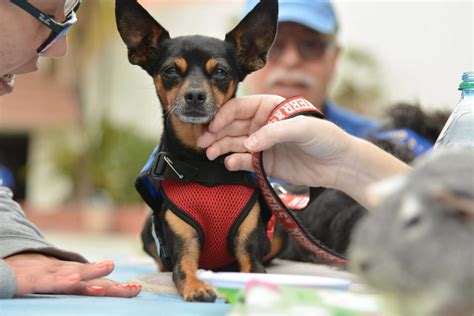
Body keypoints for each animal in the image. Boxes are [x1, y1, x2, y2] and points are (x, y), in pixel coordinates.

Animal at [115, 0, 278, 302]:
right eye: (170, 71)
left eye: (221, 72)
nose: (194, 96)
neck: (204, 164)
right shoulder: (183, 243)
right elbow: (183, 269)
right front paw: (197, 285)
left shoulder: (248, 246)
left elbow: (254, 270)